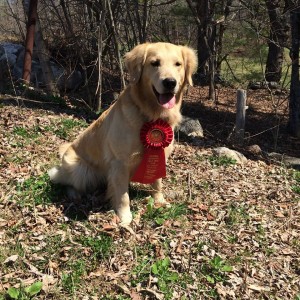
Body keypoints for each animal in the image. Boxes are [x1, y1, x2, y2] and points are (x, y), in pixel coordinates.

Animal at [48, 42, 198, 225]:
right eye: (155, 63)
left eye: (178, 64)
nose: (170, 82)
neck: (150, 115)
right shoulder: (120, 162)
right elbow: (122, 195)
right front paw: (125, 217)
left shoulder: (159, 155)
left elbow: (157, 182)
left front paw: (159, 201)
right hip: (79, 168)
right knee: (65, 180)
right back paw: (74, 194)